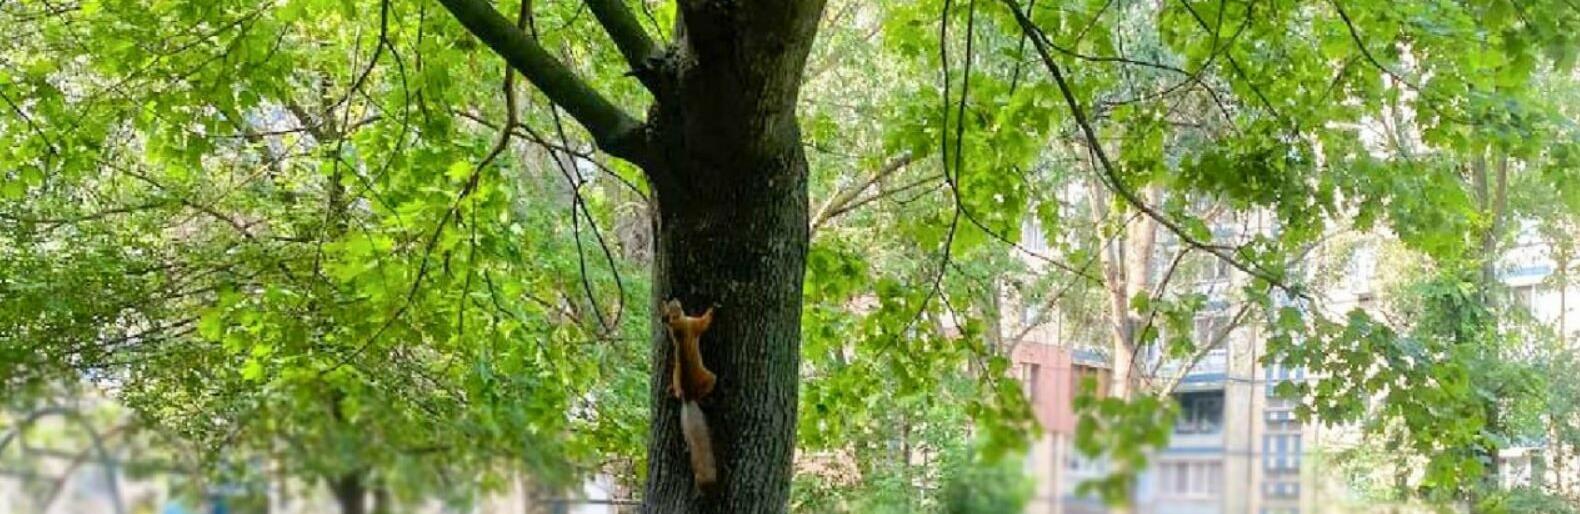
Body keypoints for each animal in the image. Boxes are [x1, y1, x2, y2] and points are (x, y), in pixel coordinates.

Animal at [662, 299, 718, 491]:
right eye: (676, 308)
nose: (675, 299)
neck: (677, 327)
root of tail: (688, 395)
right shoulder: (692, 324)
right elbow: (704, 323)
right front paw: (713, 309)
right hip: (710, 378)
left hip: (676, 378)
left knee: (676, 391)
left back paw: (671, 390)